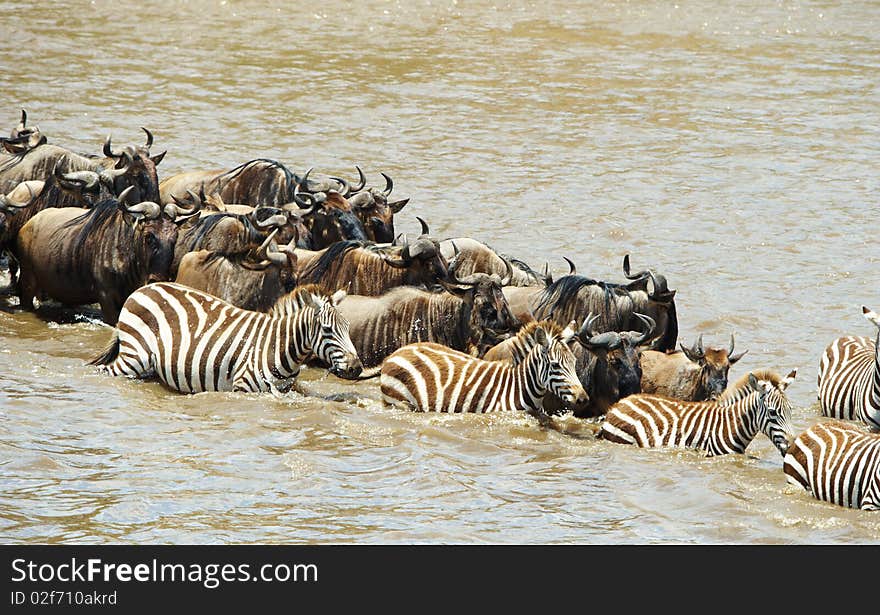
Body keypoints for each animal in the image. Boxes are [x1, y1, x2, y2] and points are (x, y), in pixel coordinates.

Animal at [87, 282, 362, 394]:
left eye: (348, 328)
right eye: (327, 330)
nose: (357, 368)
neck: (277, 345)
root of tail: (141, 289)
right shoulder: (243, 388)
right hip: (134, 357)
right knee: (106, 372)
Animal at [382, 322, 588, 414]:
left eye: (574, 363)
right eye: (555, 365)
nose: (583, 399)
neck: (518, 388)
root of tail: (398, 352)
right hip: (400, 402)